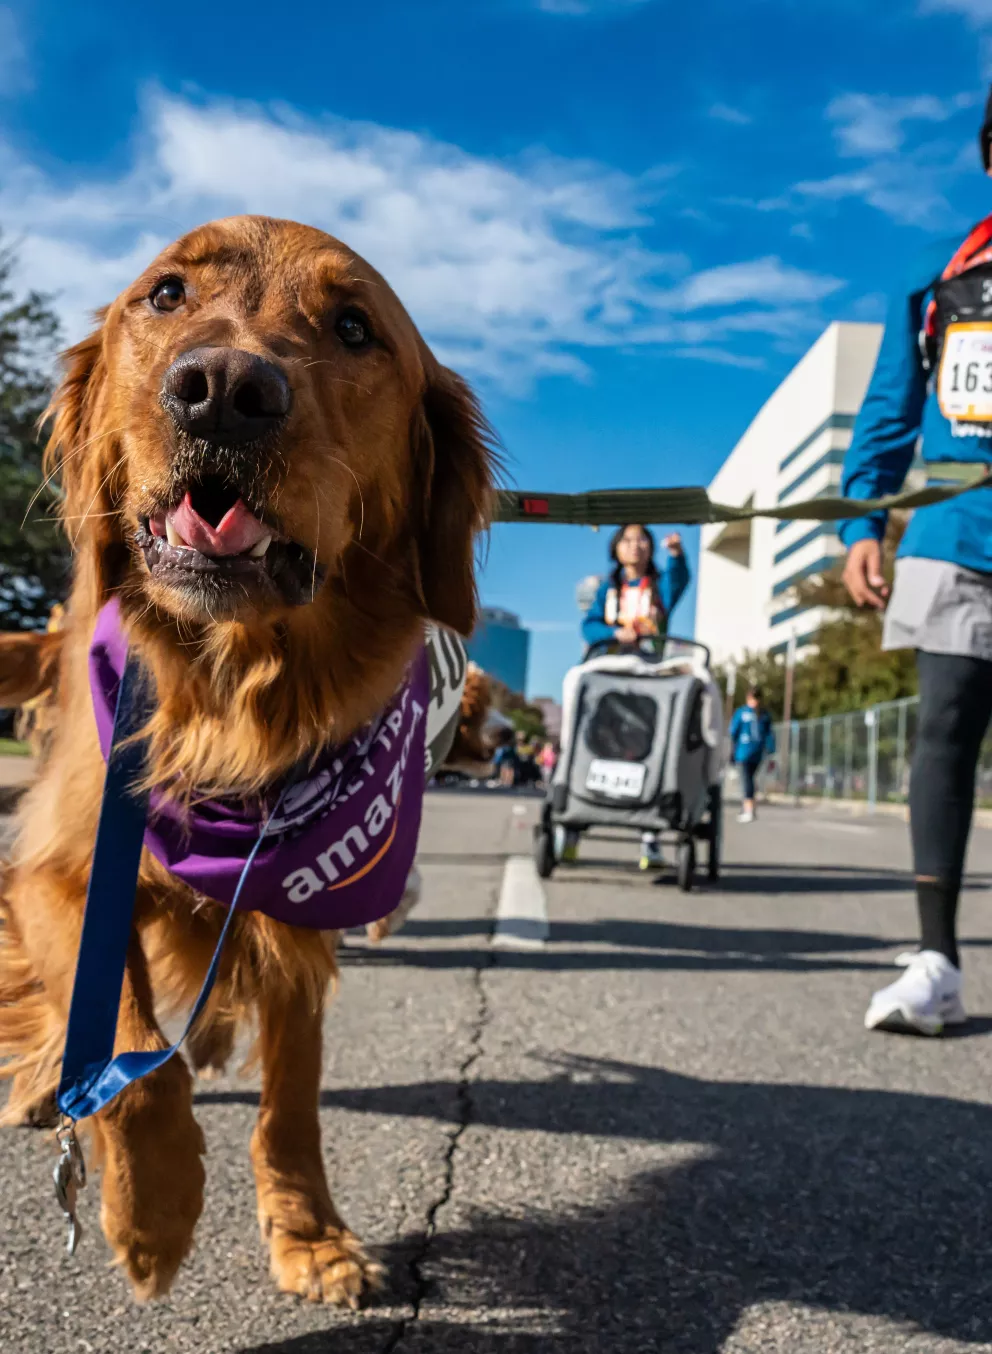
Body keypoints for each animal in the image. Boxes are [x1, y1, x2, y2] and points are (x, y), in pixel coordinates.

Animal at [0, 216, 495, 1305]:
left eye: (353, 327)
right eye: (165, 294)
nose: (222, 390)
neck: (232, 711)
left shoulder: (302, 918)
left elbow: (291, 1098)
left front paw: (310, 1234)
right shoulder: (60, 869)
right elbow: (132, 1048)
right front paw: (154, 1211)